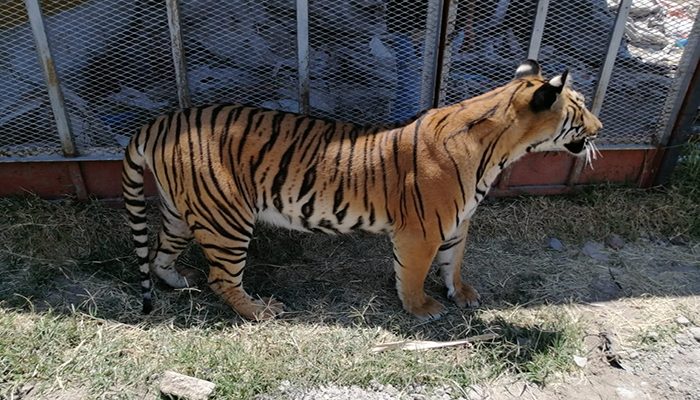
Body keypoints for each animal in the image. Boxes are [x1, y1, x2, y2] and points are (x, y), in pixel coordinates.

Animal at [122, 59, 602, 321]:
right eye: (579, 108)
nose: (600, 128)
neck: (502, 150)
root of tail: (160, 121)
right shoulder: (421, 231)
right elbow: (413, 273)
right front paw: (422, 308)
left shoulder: (457, 224)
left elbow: (454, 263)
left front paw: (462, 293)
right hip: (227, 218)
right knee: (222, 278)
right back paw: (261, 312)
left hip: (183, 210)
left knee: (161, 252)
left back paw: (178, 282)